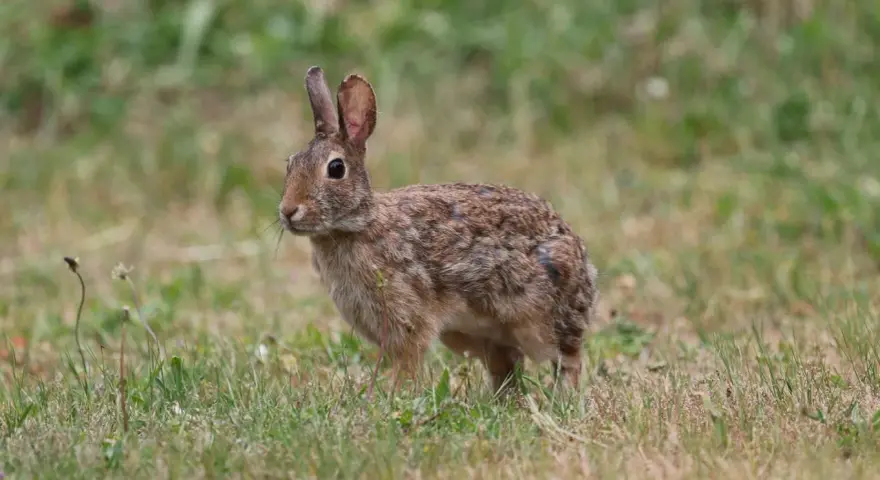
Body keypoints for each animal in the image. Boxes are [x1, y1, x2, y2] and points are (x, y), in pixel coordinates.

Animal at [278, 66, 599, 394]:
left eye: (336, 169)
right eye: (290, 164)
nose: (288, 211)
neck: (359, 225)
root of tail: (582, 261)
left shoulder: (407, 320)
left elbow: (407, 362)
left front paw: (395, 394)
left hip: (542, 322)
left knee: (566, 360)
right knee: (507, 365)